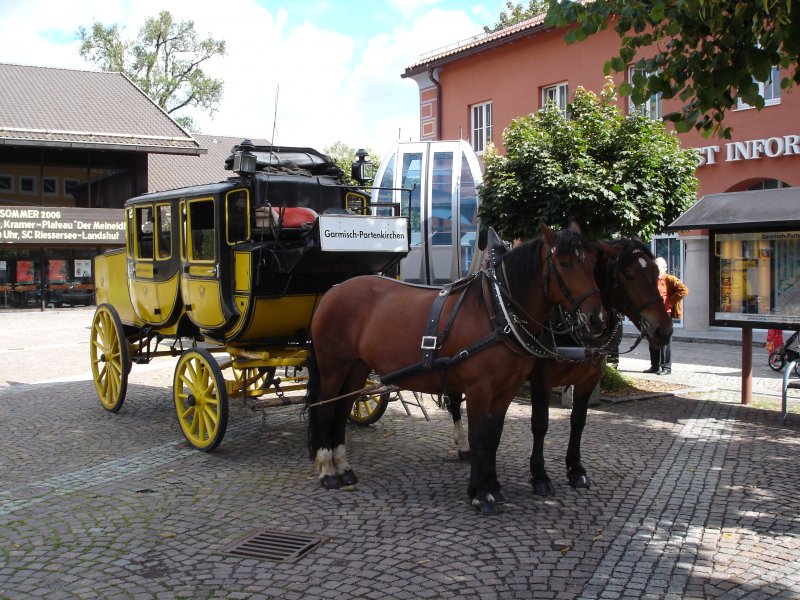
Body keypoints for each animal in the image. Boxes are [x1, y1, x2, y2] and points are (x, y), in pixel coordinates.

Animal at [304, 223, 608, 512]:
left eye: (594, 262)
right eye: (565, 264)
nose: (597, 319)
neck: (497, 311)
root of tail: (334, 290)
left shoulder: (506, 390)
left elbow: (493, 436)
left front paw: (493, 486)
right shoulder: (478, 389)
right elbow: (478, 436)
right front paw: (480, 494)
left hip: (357, 367)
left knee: (342, 409)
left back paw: (344, 468)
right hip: (333, 366)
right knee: (325, 410)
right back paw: (328, 470)